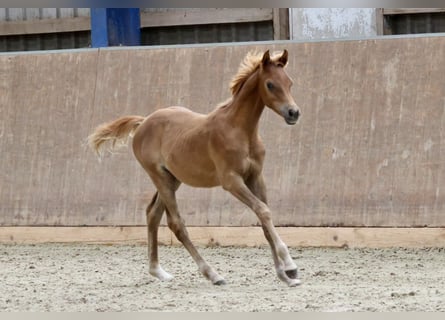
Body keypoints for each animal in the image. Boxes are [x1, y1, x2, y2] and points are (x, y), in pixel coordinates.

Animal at [88, 50, 300, 288]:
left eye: (289, 82)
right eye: (270, 84)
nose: (293, 113)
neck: (240, 130)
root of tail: (143, 122)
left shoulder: (256, 177)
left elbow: (264, 218)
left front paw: (284, 275)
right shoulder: (231, 181)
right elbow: (263, 211)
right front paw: (290, 265)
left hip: (172, 179)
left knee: (153, 214)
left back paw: (158, 271)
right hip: (159, 177)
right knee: (176, 223)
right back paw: (213, 274)